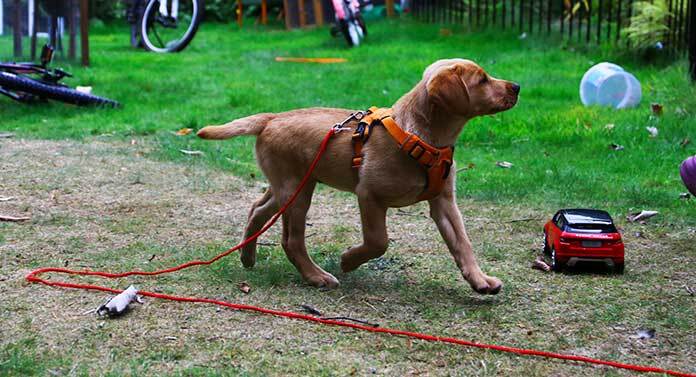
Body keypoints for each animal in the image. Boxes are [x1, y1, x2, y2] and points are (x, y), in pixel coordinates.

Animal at [198, 58, 520, 294]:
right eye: (482, 80)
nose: (517, 86)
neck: (419, 136)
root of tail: (272, 118)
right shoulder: (369, 196)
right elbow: (379, 241)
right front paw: (349, 260)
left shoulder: (444, 201)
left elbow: (463, 243)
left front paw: (480, 280)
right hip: (296, 191)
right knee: (291, 240)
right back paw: (316, 276)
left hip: (292, 184)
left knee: (258, 209)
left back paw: (248, 256)